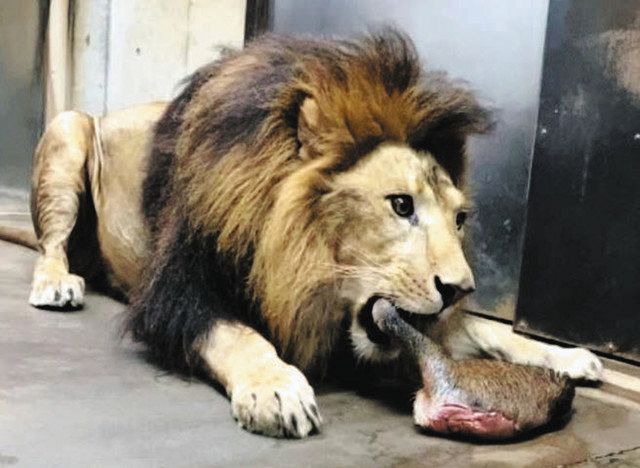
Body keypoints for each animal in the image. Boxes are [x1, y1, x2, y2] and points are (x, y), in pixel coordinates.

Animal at [0, 30, 604, 438]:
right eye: (401, 205)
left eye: (460, 219)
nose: (461, 288)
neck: (305, 264)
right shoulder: (179, 291)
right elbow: (238, 334)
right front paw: (275, 387)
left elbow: (483, 330)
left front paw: (566, 355)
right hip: (69, 129)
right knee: (52, 244)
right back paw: (58, 283)